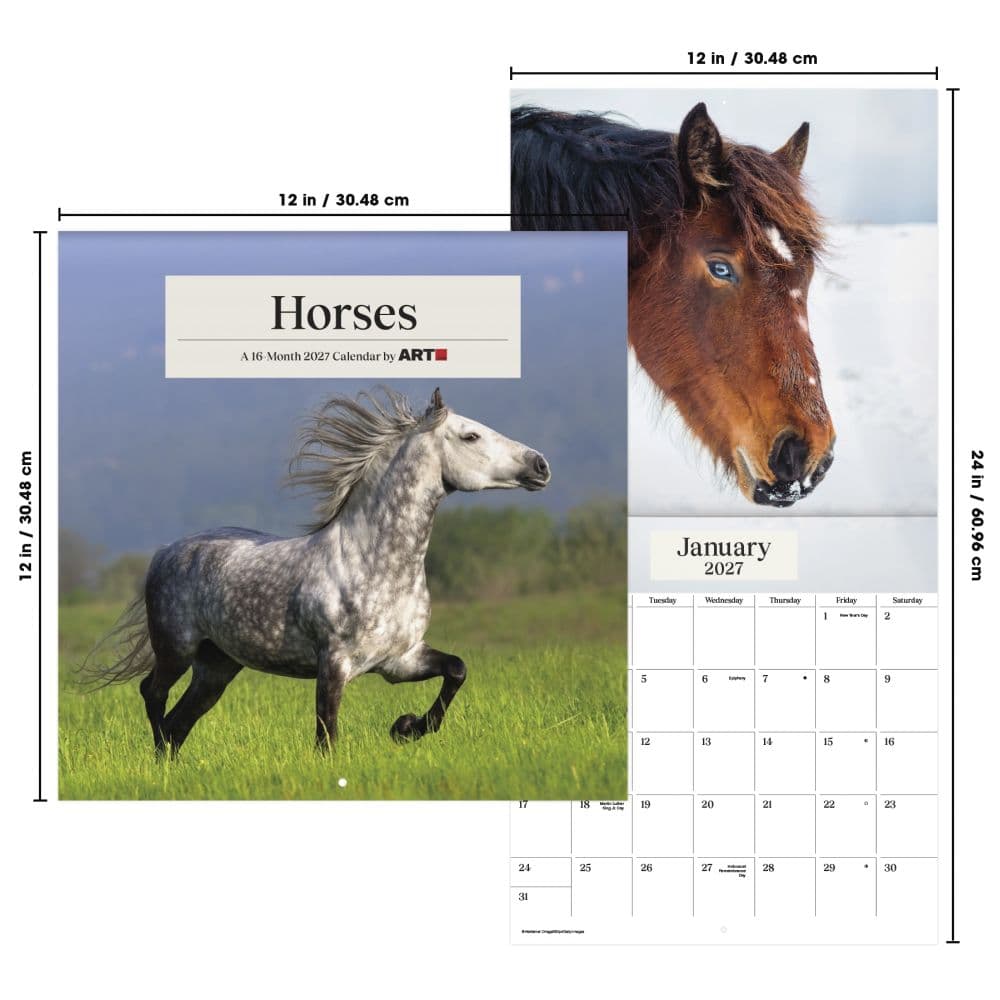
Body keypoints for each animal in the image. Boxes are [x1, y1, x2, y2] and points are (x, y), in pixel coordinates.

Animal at [82, 388, 551, 756]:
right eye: (471, 435)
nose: (540, 465)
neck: (376, 565)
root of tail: (166, 552)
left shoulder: (400, 660)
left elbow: (457, 669)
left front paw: (407, 727)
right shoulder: (334, 664)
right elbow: (326, 736)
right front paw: (398, 731)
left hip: (217, 667)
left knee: (180, 721)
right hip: (176, 649)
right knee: (153, 694)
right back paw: (157, 758)